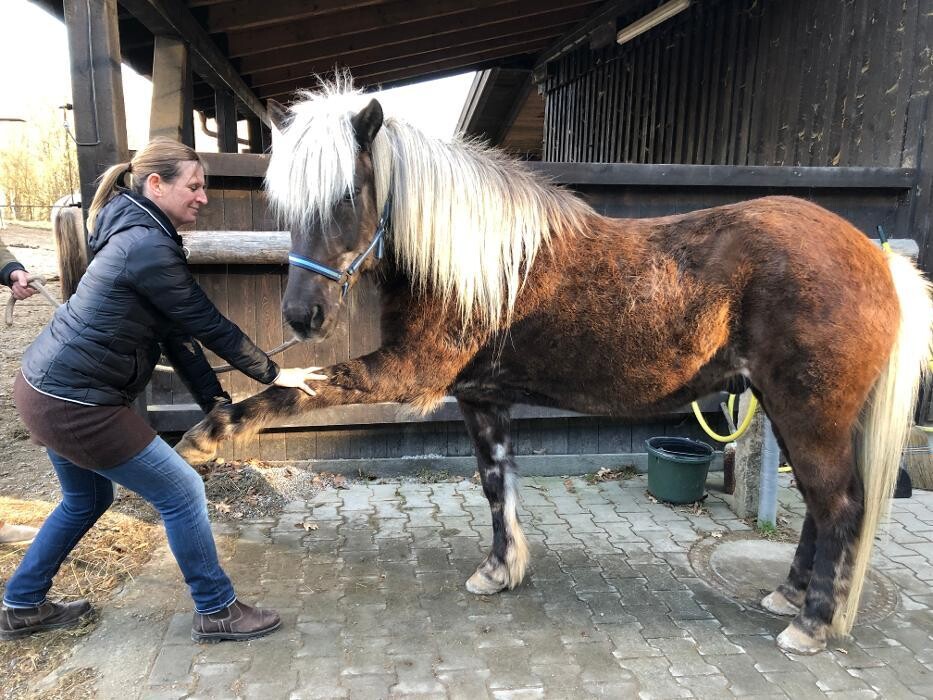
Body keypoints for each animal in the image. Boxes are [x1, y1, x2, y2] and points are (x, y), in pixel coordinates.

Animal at [171, 79, 928, 652]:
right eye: (285, 205)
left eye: (347, 198)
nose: (302, 317)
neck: (475, 267)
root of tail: (875, 258)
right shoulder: (482, 398)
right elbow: (494, 485)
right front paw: (500, 570)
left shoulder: (405, 374)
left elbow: (302, 389)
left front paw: (207, 437)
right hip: (790, 409)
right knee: (821, 509)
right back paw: (788, 596)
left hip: (807, 411)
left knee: (838, 505)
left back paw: (811, 624)